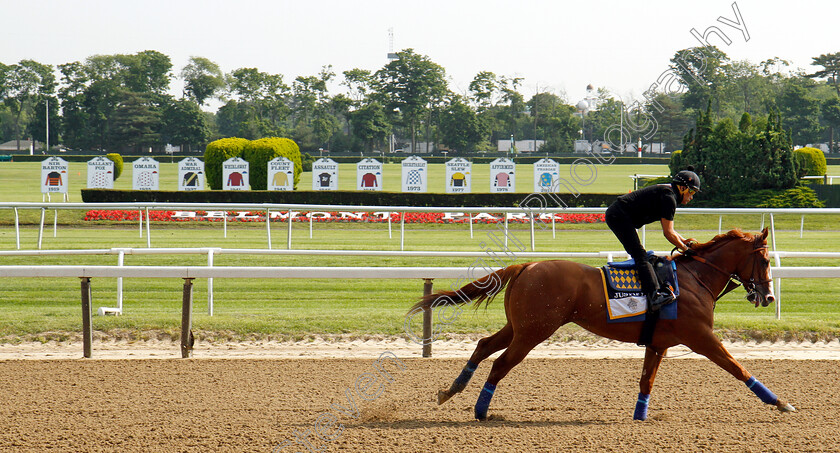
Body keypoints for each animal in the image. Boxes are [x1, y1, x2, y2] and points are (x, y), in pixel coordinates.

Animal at [414, 230, 796, 420]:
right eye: (764, 260)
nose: (768, 296)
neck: (693, 279)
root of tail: (528, 265)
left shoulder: (658, 342)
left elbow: (647, 380)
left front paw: (640, 417)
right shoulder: (701, 337)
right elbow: (738, 368)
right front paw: (780, 403)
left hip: (520, 326)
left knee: (483, 346)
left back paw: (451, 390)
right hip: (534, 331)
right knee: (500, 364)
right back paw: (481, 411)